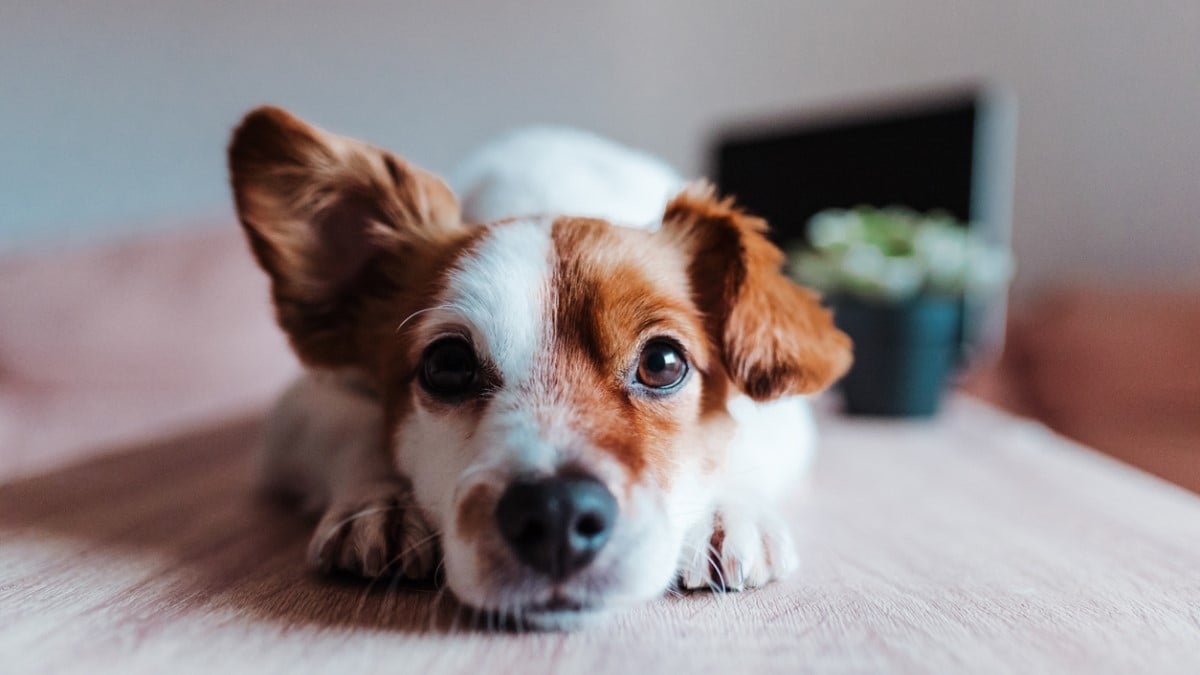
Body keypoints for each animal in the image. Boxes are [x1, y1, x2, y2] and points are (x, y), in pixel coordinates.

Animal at [225, 105, 854, 624]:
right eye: (447, 365)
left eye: (663, 361)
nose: (556, 515)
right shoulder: (301, 405)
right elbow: (352, 427)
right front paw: (382, 501)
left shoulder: (784, 413)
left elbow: (742, 439)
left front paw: (727, 509)